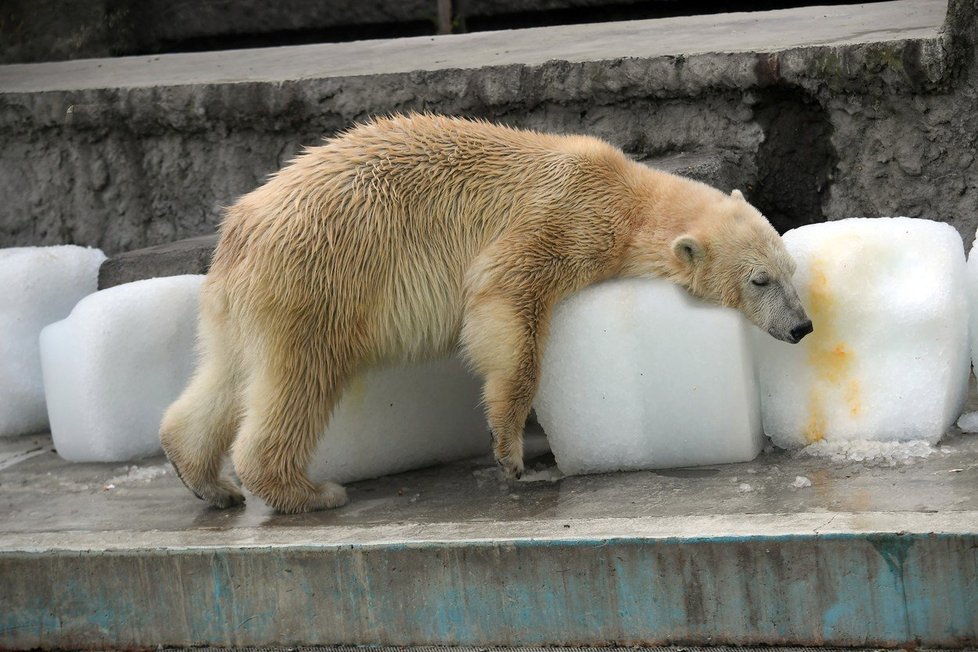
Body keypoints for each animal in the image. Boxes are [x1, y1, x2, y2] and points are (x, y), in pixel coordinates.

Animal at [162, 116, 808, 516]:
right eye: (759, 280)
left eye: (791, 270)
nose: (801, 327)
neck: (625, 196)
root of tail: (239, 230)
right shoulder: (560, 218)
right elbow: (505, 301)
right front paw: (511, 454)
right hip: (318, 280)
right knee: (301, 377)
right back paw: (311, 492)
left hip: (238, 303)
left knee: (226, 374)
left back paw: (206, 479)